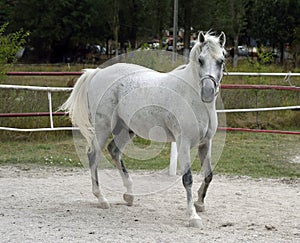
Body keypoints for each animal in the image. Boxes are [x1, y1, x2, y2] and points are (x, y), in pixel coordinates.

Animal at [61, 31, 225, 227]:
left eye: (221, 60)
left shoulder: (205, 143)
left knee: (114, 151)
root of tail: (98, 72)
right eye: (200, 60)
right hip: (103, 127)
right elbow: (188, 179)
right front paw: (193, 216)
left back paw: (129, 195)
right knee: (94, 155)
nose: (208, 92)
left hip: (125, 129)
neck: (193, 98)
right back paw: (102, 199)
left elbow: (209, 175)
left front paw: (200, 204)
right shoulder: (183, 143)